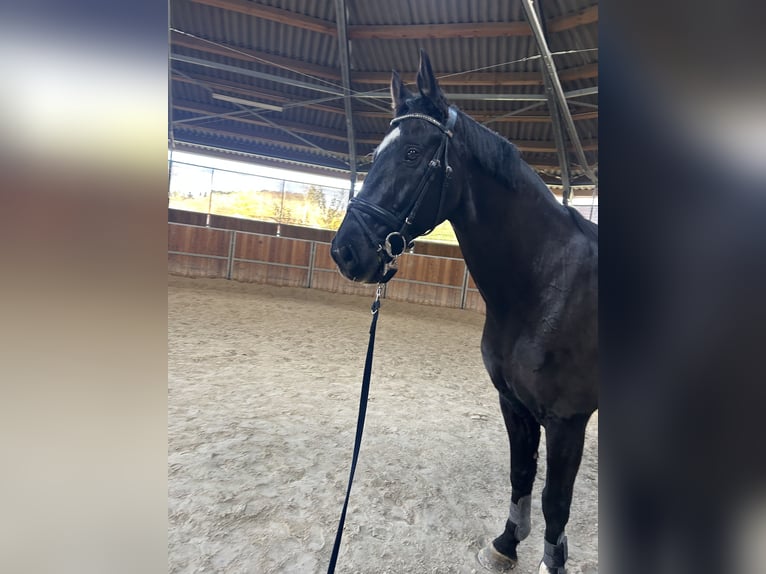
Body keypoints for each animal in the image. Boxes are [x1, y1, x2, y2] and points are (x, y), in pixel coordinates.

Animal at [330, 50, 597, 574]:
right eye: (376, 155)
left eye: (413, 154)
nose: (345, 252)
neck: (546, 287)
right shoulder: (513, 404)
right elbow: (521, 474)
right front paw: (506, 543)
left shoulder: (567, 420)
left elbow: (556, 502)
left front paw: (550, 560)